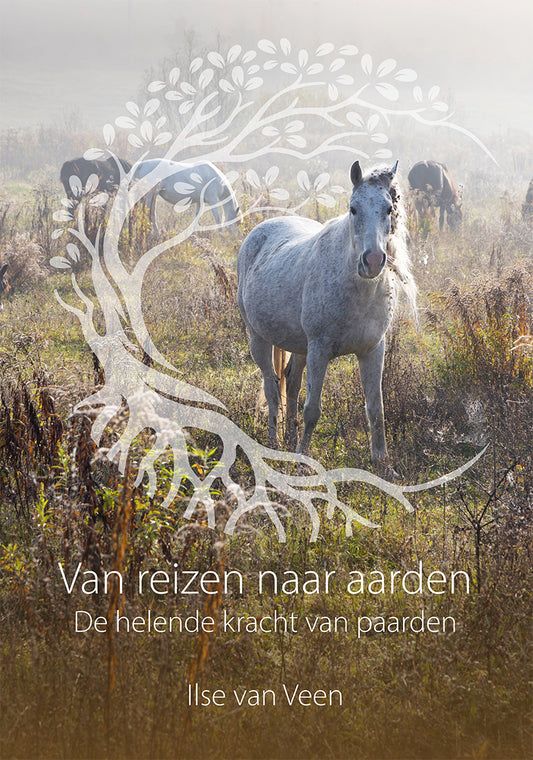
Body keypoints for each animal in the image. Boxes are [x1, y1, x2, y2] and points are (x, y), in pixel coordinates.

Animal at [237, 161, 416, 475]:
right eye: (353, 208)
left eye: (388, 208)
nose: (372, 262)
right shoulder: (319, 349)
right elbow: (312, 410)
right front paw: (303, 465)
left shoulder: (373, 349)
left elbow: (376, 409)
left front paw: (383, 464)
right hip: (258, 338)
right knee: (272, 388)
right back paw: (274, 443)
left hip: (299, 347)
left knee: (291, 385)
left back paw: (289, 440)